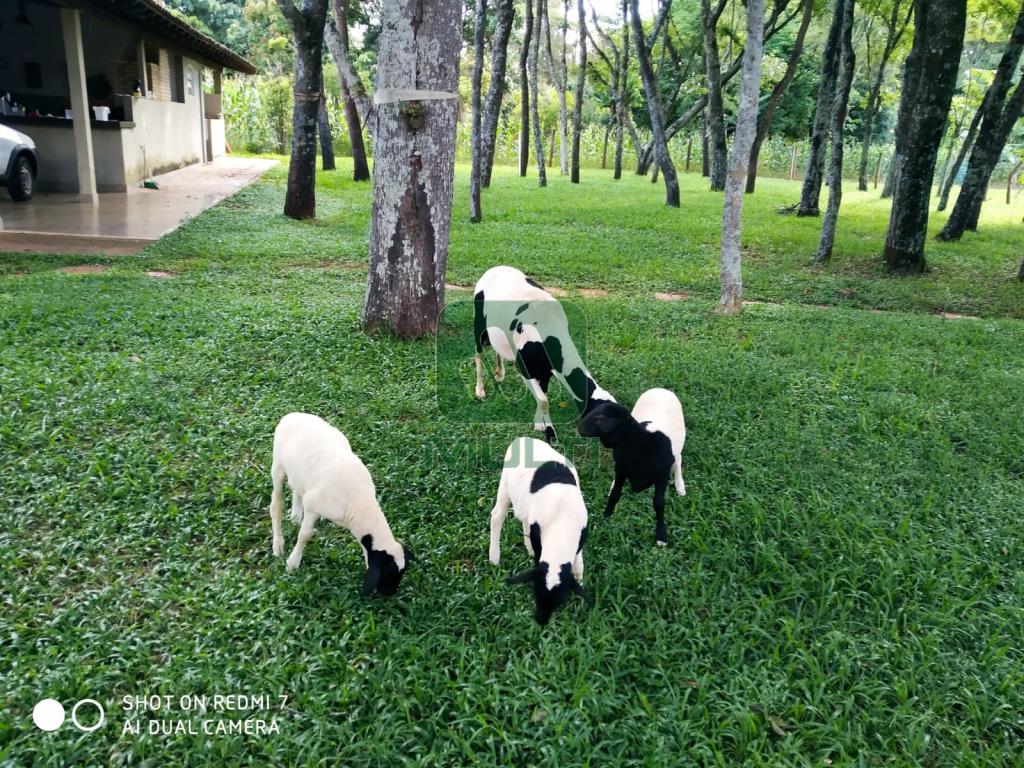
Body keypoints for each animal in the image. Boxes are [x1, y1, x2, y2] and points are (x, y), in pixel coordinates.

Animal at [270, 411, 409, 598]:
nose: (389, 594)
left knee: (296, 488)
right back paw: (278, 544)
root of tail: (292, 415)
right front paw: (292, 563)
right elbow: (305, 535)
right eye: (389, 572)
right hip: (277, 465)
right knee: (276, 504)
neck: (359, 504)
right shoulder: (312, 506)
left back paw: (296, 515)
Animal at [473, 266, 610, 442]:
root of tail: (495, 268)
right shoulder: (525, 368)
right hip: (479, 326)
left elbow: (542, 396)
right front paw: (550, 433)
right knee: (479, 355)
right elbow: (544, 401)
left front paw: (540, 424)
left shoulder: (545, 371)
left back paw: (500, 374)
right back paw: (480, 390)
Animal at [487, 438, 593, 626]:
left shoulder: (580, 538)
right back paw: (494, 557)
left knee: (523, 518)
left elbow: (578, 565)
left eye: (559, 601)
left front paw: (580, 583)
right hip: (505, 484)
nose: (541, 621)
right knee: (497, 516)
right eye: (535, 594)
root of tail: (522, 438)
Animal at [577, 391, 688, 548]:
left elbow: (659, 503)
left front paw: (661, 536)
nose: (579, 427)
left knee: (678, 459)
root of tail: (661, 389)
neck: (639, 443)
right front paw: (606, 517)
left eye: (600, 417)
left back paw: (680, 486)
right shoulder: (621, 469)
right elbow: (615, 494)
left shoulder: (663, 475)